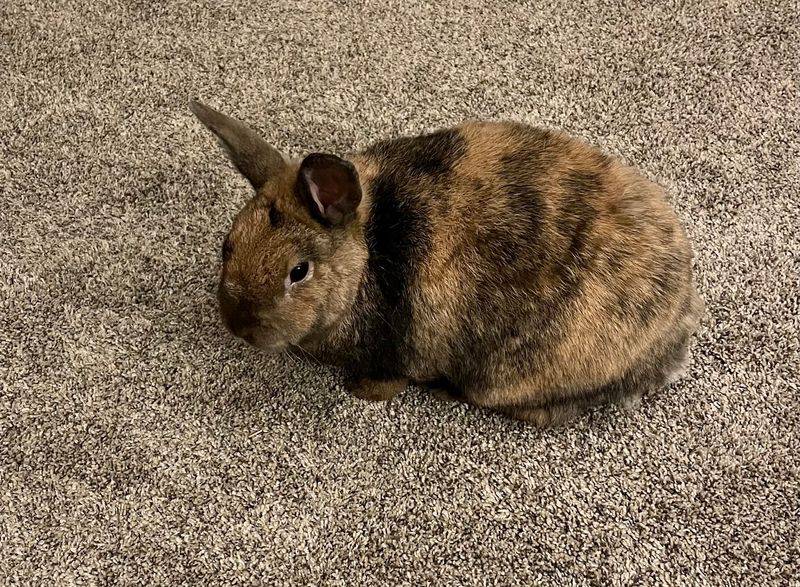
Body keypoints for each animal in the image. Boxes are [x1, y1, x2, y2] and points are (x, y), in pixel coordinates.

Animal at [190, 99, 703, 426]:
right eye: (227, 246)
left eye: (298, 272)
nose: (239, 325)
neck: (368, 257)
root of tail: (672, 337)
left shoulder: (399, 356)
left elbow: (386, 381)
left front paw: (358, 391)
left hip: (514, 374)